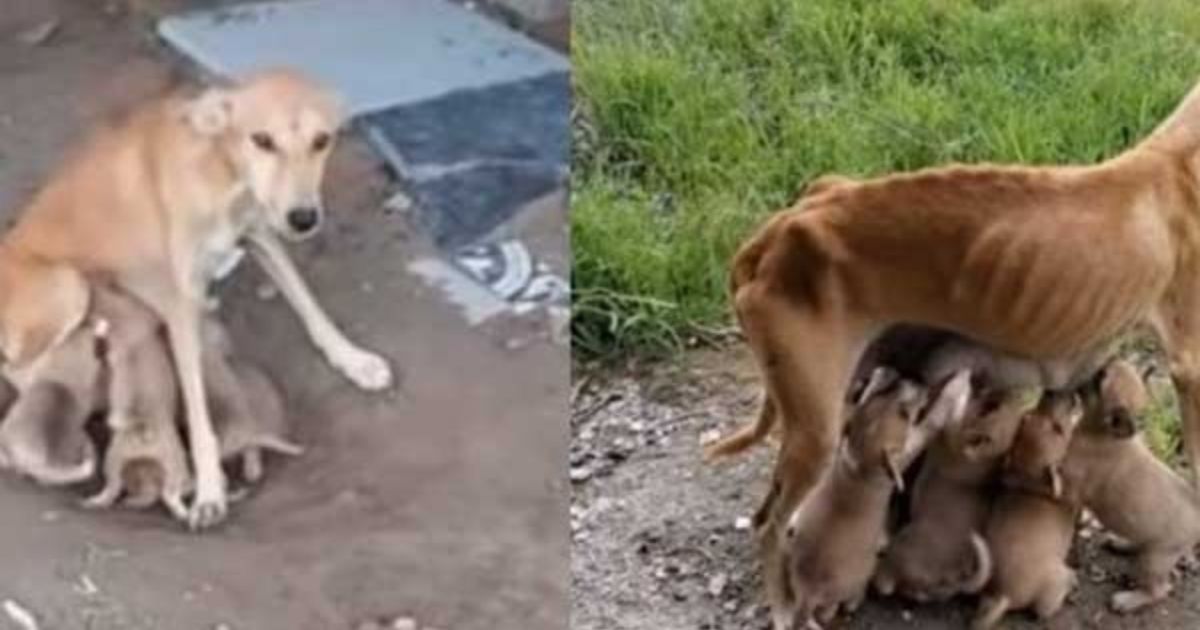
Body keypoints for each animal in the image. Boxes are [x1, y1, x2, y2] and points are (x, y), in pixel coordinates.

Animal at [0, 68, 393, 528]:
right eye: (262, 140)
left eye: (322, 140)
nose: (304, 218)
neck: (221, 173)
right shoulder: (180, 303)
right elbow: (199, 409)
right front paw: (209, 488)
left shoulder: (259, 234)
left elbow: (309, 305)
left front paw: (354, 360)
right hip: (69, 286)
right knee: (16, 368)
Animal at [777, 369, 974, 628]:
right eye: (904, 413)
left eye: (881, 394)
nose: (907, 380)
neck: (859, 459)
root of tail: (807, 595)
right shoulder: (911, 445)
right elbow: (931, 421)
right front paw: (958, 386)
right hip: (856, 577)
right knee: (833, 609)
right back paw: (854, 601)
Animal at [873, 384, 1041, 600]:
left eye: (991, 407)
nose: (1027, 393)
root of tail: (952, 582)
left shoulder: (950, 433)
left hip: (904, 544)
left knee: (885, 584)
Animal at [969, 391, 1084, 624]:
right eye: (1058, 429)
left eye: (1031, 413)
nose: (1052, 391)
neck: (1027, 477)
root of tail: (1003, 595)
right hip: (1054, 581)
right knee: (1043, 611)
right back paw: (1072, 580)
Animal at [1060, 357, 1200, 609]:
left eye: (1100, 378)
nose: (1100, 358)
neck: (1103, 433)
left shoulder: (1071, 492)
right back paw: (1123, 544)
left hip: (1155, 559)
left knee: (1159, 590)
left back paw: (1128, 600)